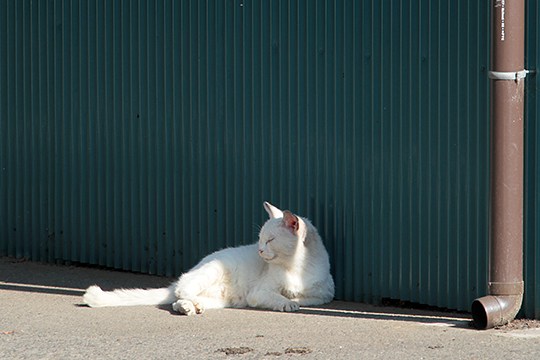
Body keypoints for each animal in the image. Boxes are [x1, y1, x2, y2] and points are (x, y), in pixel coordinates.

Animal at [83, 201, 334, 314]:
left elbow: (306, 299)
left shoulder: (324, 296)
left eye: (270, 240)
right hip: (211, 270)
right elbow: (277, 296)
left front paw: (293, 299)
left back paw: (190, 307)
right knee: (182, 288)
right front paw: (287, 303)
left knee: (178, 299)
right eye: (260, 239)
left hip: (223, 300)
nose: (260, 251)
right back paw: (189, 303)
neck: (295, 268)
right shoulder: (259, 292)